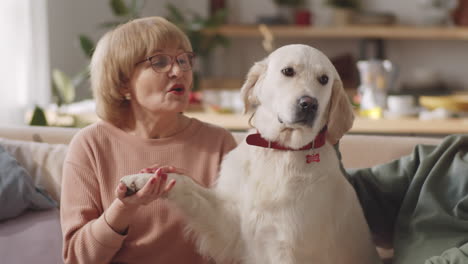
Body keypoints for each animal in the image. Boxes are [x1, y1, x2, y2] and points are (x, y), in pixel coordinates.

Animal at [122, 44, 382, 264]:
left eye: (324, 79)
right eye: (288, 71)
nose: (309, 104)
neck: (279, 151)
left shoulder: (287, 248)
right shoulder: (229, 223)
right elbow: (185, 183)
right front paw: (144, 178)